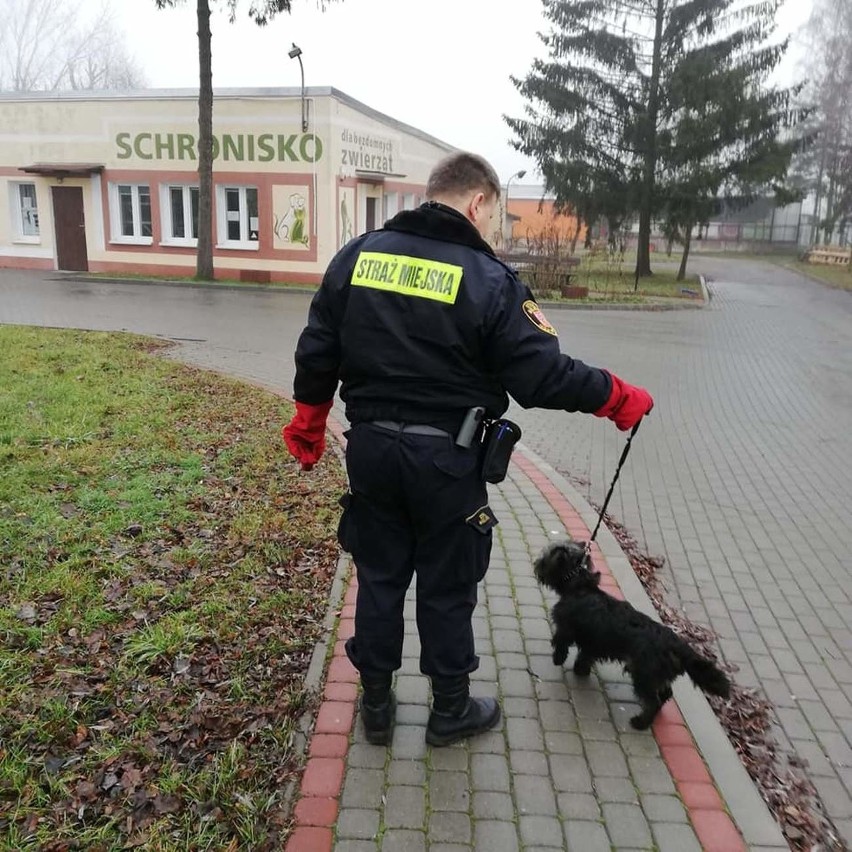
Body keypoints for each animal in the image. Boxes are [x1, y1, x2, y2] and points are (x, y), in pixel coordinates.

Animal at [540, 544, 724, 728]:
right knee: (665, 693)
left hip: (644, 675)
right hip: (657, 676)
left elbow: (561, 644)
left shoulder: (565, 628)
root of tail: (676, 644)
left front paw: (558, 659)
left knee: (654, 701)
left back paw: (640, 723)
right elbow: (585, 656)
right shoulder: (593, 642)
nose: (537, 565)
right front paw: (581, 670)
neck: (581, 585)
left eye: (545, 557)